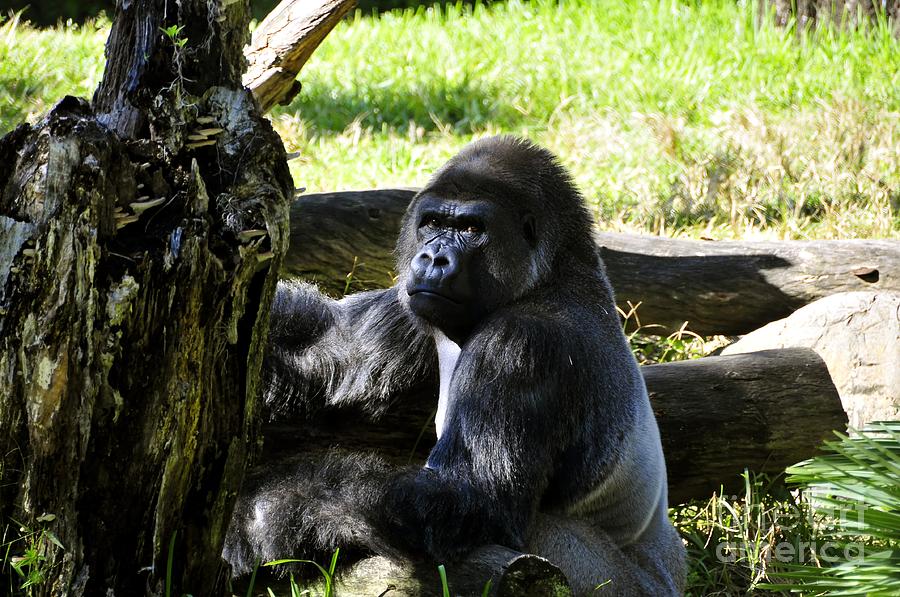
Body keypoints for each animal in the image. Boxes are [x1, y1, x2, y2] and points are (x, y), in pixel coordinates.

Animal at [221, 137, 684, 592]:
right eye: (432, 223)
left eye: (471, 229)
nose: (432, 258)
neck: (551, 275)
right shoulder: (411, 301)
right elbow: (321, 354)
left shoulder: (522, 344)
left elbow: (469, 502)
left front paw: (257, 518)